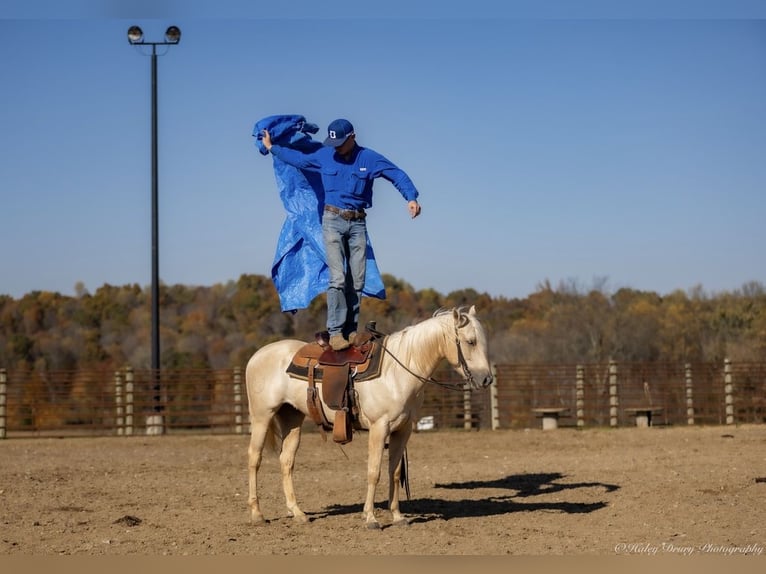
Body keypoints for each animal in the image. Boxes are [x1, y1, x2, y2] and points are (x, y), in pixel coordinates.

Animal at [245, 306, 493, 529]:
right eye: (471, 341)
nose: (487, 379)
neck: (397, 372)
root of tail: (257, 355)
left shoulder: (402, 430)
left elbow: (395, 473)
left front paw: (398, 517)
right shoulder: (379, 427)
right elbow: (374, 472)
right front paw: (371, 518)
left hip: (292, 419)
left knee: (286, 461)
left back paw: (297, 513)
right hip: (261, 417)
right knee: (254, 458)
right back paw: (257, 514)